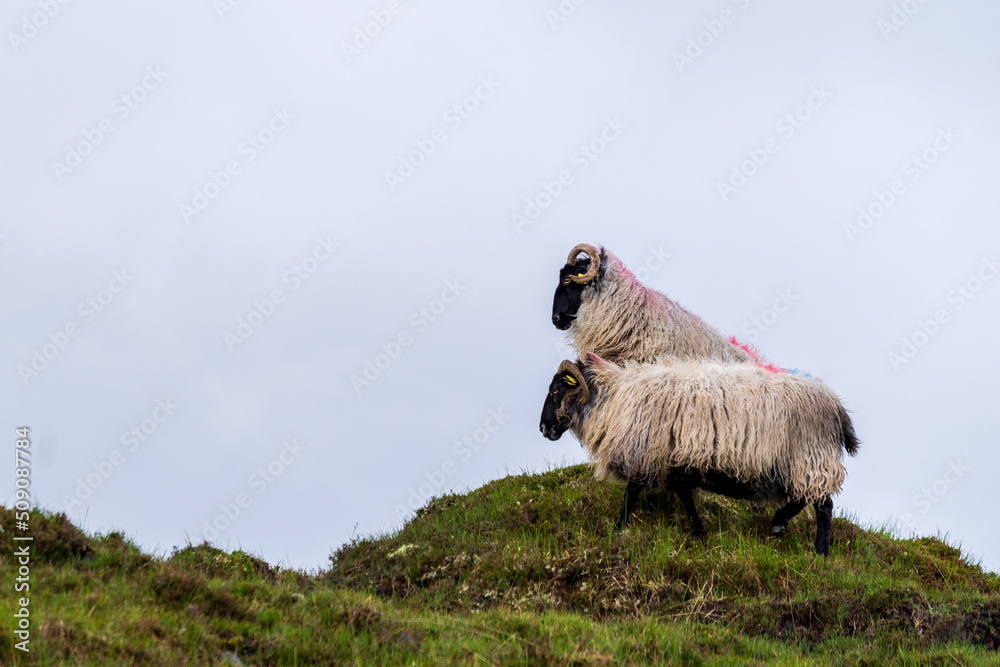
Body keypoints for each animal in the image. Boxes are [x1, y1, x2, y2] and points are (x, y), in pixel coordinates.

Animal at [538, 354, 859, 556]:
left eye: (555, 391)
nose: (543, 428)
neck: (613, 398)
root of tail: (836, 406)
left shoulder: (644, 452)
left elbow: (632, 492)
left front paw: (617, 528)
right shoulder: (674, 460)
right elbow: (684, 495)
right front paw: (696, 530)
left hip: (809, 456)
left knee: (822, 505)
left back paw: (816, 548)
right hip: (804, 461)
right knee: (810, 499)